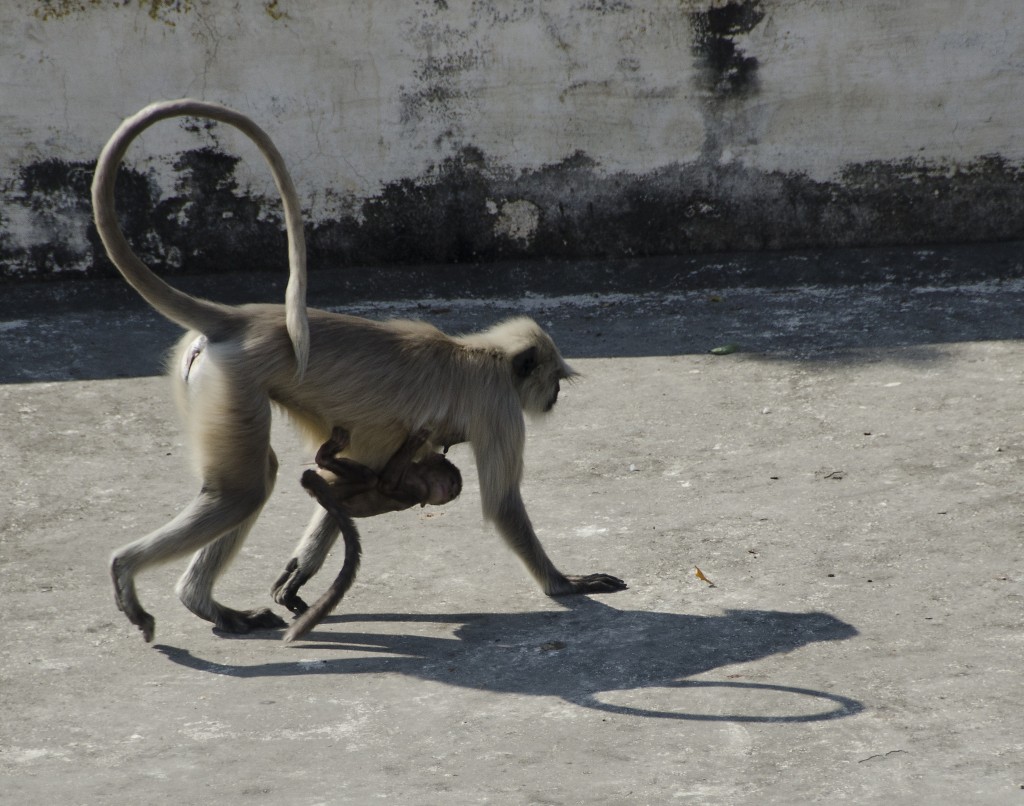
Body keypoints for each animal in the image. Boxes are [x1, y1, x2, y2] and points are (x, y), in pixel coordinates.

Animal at [286, 428, 466, 643]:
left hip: (335, 490)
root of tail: (319, 492)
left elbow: (386, 486)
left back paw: (324, 457)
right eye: (452, 483)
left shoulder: (418, 488)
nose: (450, 492)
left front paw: (413, 444)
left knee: (369, 479)